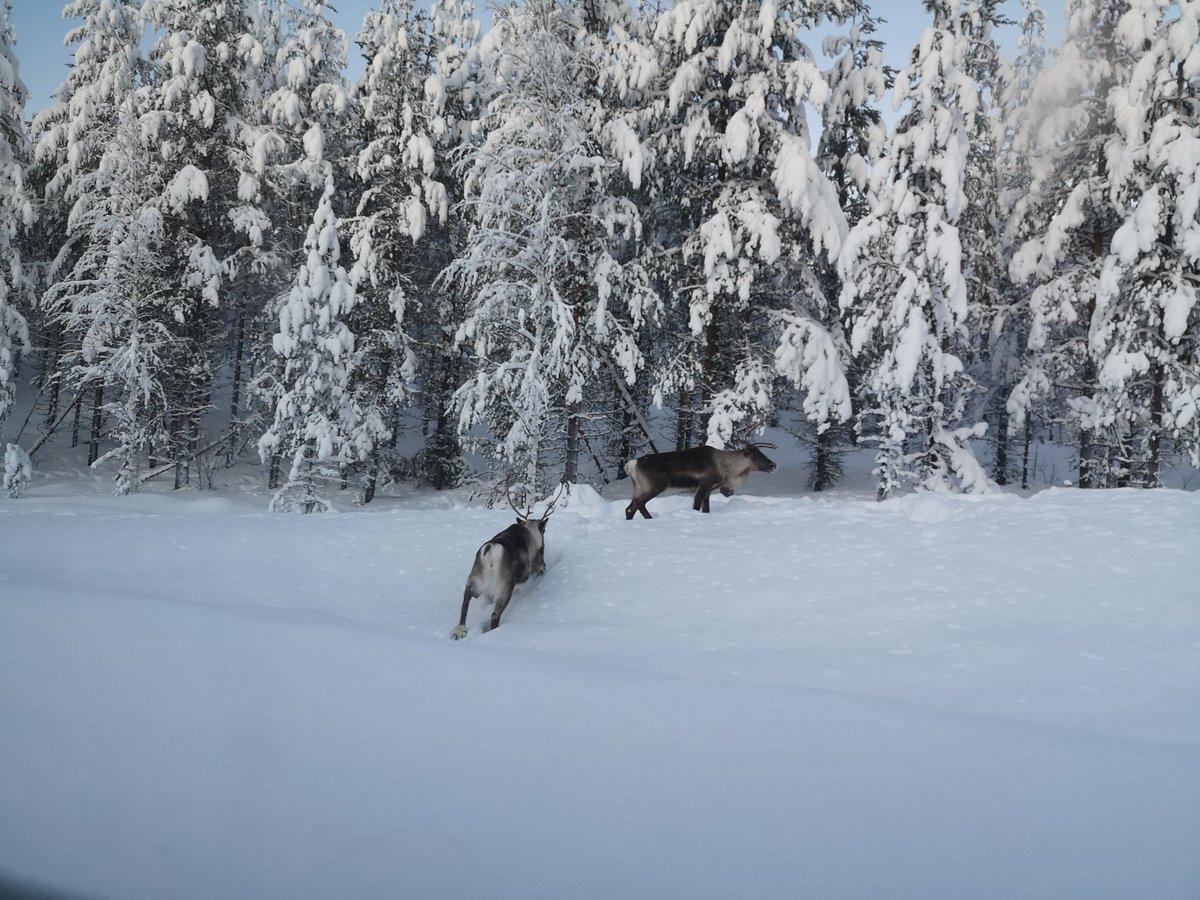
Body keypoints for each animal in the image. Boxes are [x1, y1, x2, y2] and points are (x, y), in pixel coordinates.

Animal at [452, 480, 566, 639]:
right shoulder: (536, 566)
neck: (530, 532)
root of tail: (491, 550)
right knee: (495, 615)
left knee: (466, 600)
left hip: (476, 579)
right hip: (504, 587)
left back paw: (460, 630)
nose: (544, 564)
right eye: (542, 546)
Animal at [624, 433, 777, 520]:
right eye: (757, 455)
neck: (726, 468)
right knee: (639, 504)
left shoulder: (709, 490)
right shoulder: (703, 486)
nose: (773, 465)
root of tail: (632, 464)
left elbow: (706, 510)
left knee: (629, 508)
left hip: (638, 488)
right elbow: (696, 507)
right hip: (655, 486)